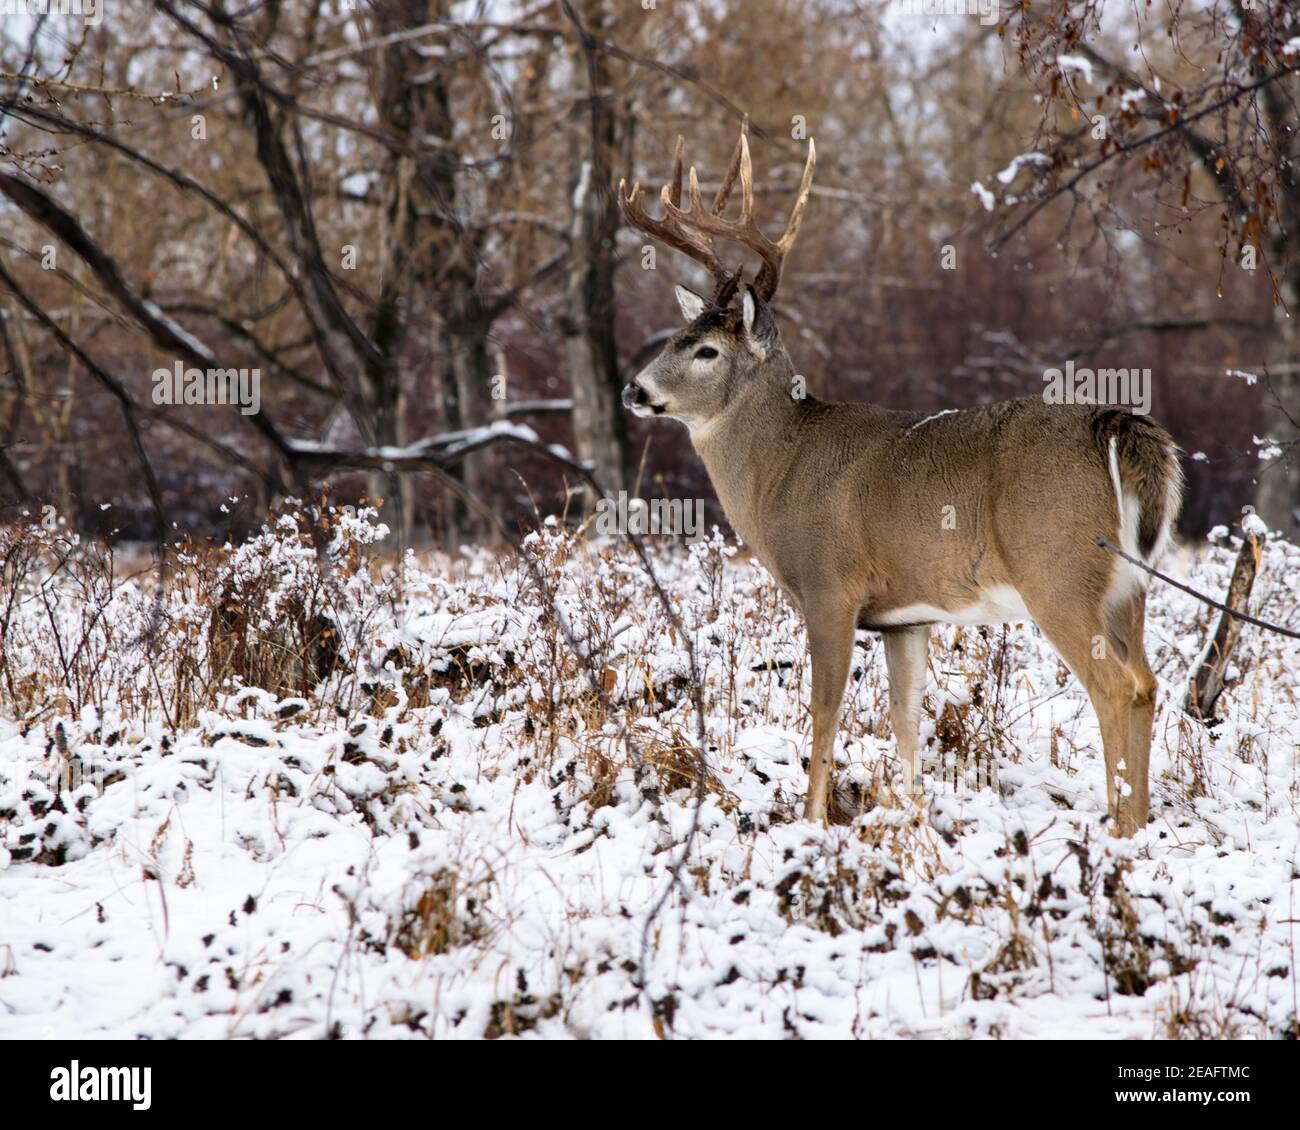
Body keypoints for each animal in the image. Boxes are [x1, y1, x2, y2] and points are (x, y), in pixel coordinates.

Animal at [624, 128, 1185, 832]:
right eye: (676, 335)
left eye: (707, 351)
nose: (634, 390)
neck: (780, 468)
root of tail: (1116, 425)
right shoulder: (905, 619)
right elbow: (906, 721)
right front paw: (914, 817)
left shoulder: (829, 586)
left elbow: (825, 713)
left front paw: (813, 824)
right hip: (1130, 588)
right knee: (1147, 683)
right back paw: (1143, 823)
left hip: (1059, 570)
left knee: (1114, 687)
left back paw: (1119, 829)